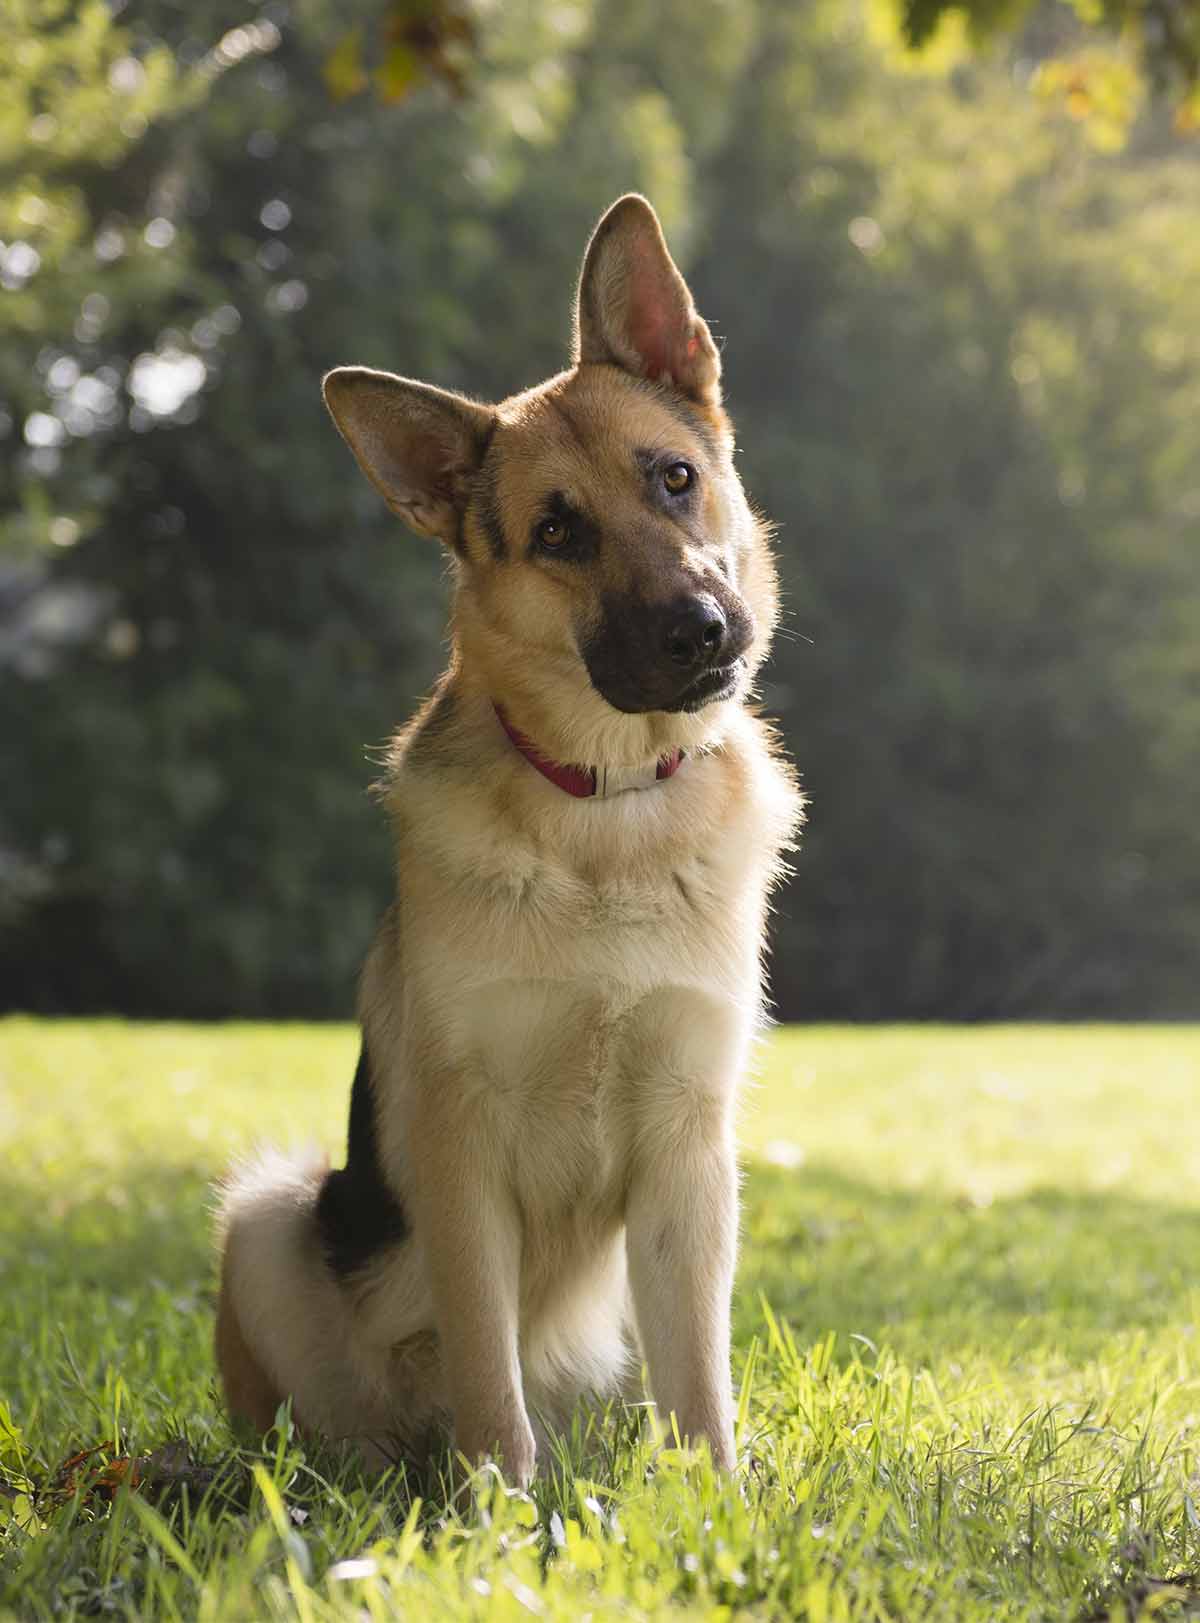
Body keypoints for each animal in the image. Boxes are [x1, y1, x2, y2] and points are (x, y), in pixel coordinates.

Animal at [215, 193, 802, 1486]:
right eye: (556, 533)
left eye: (675, 478)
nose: (702, 631)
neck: (606, 807)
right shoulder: (459, 1147)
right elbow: (490, 1369)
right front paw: (495, 1508)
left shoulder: (690, 1151)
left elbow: (702, 1382)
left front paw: (720, 1502)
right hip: (270, 1217)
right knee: (332, 1417)